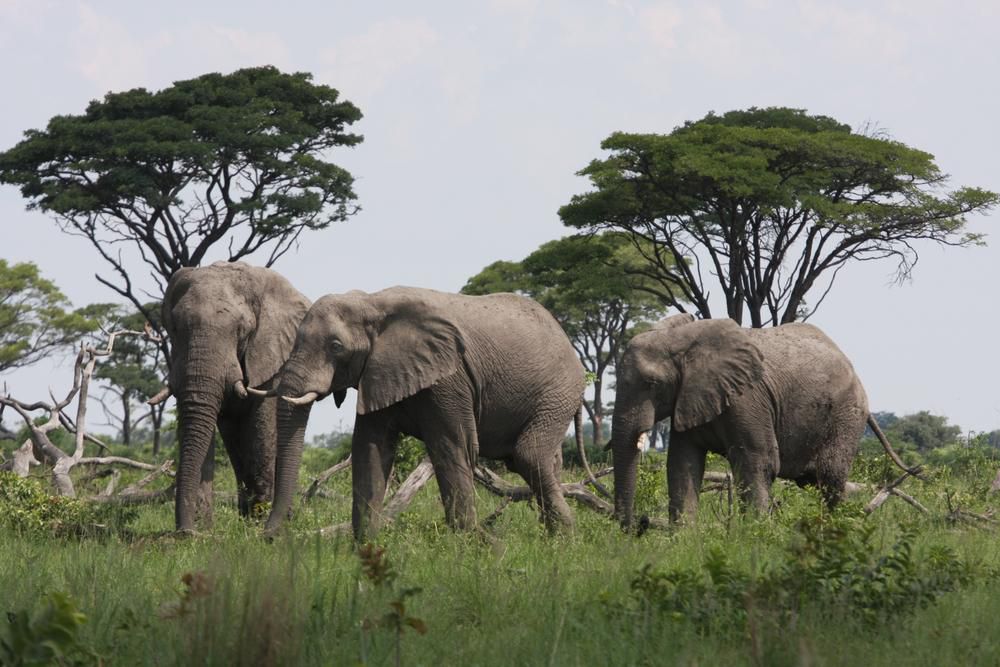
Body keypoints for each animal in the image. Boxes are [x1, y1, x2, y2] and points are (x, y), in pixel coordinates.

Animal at [156, 260, 310, 532]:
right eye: (174, 328)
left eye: (242, 330)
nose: (184, 532)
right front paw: (203, 530)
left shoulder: (269, 355)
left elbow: (262, 428)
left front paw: (256, 526)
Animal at [254, 288, 588, 544]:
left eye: (336, 347)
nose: (269, 538)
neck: (371, 302)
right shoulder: (378, 372)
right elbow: (370, 450)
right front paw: (366, 547)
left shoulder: (449, 380)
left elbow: (451, 448)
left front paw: (477, 546)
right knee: (538, 461)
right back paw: (551, 537)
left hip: (558, 391)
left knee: (528, 455)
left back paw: (564, 539)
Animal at [608, 314, 916, 532]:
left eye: (652, 384)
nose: (639, 524)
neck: (683, 340)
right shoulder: (689, 399)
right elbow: (682, 463)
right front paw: (684, 541)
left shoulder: (747, 397)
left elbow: (757, 461)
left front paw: (755, 536)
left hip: (846, 414)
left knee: (830, 478)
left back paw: (835, 530)